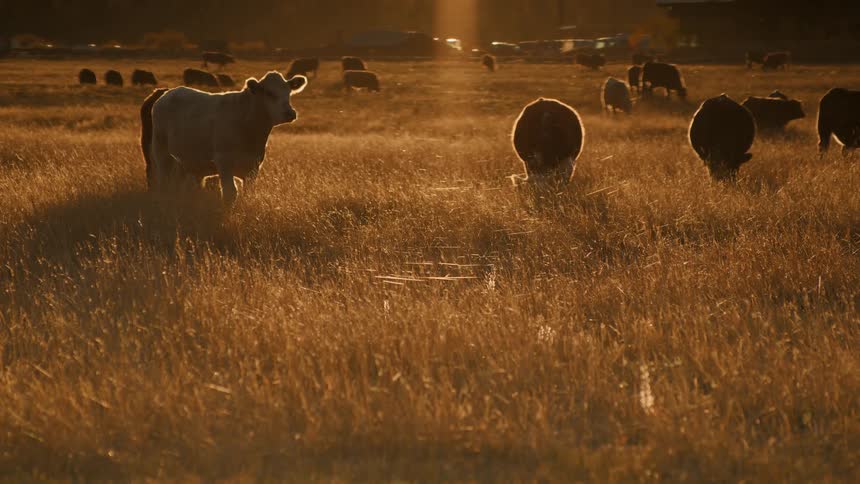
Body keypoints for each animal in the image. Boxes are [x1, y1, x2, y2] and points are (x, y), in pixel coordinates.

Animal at [140, 71, 308, 205]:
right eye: (269, 93)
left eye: (289, 92)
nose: (290, 113)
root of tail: (166, 94)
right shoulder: (224, 162)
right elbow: (230, 194)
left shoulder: (253, 166)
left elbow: (248, 194)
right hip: (161, 153)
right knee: (162, 182)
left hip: (187, 161)